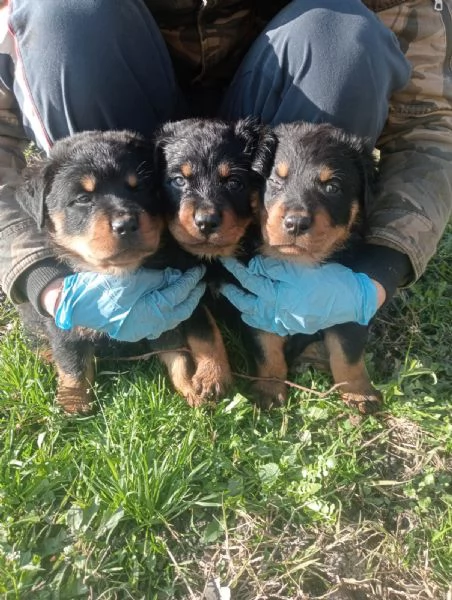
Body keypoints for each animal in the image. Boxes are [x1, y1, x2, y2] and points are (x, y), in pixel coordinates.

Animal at [154, 116, 278, 408]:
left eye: (234, 182)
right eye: (179, 180)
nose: (206, 222)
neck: (214, 259)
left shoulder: (255, 286)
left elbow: (266, 339)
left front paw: (270, 387)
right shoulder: (189, 292)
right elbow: (207, 334)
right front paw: (213, 378)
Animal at [252, 121, 384, 412]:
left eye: (332, 187)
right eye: (274, 180)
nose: (296, 223)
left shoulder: (347, 295)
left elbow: (347, 351)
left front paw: (359, 393)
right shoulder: (255, 298)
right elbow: (265, 345)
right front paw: (270, 388)